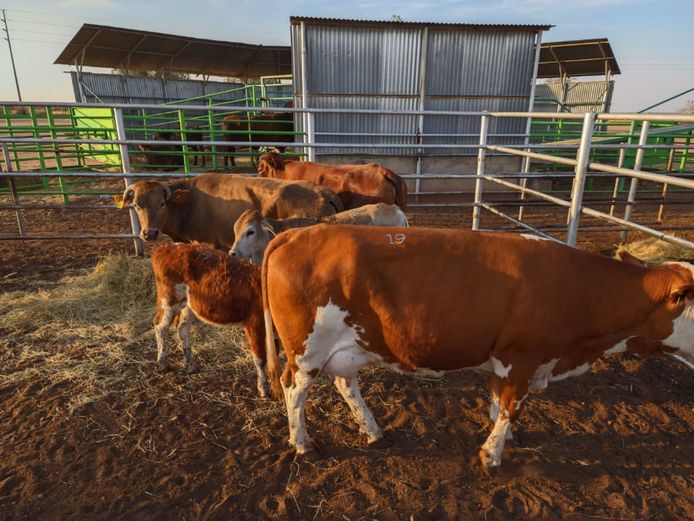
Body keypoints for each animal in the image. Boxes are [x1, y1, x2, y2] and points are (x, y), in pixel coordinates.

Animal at [151, 242, 269, 397]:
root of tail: (165, 246)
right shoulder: (255, 323)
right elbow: (260, 358)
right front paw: (264, 388)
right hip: (169, 299)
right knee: (160, 325)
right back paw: (162, 362)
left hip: (188, 304)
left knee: (182, 327)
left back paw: (190, 365)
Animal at [261, 225, 694, 471]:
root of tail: (294, 233)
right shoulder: (522, 360)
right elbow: (511, 408)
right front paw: (492, 454)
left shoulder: (503, 361)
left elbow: (497, 402)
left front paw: (502, 435)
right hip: (306, 349)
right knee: (294, 389)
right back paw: (303, 445)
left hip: (344, 346)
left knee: (345, 383)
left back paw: (374, 432)